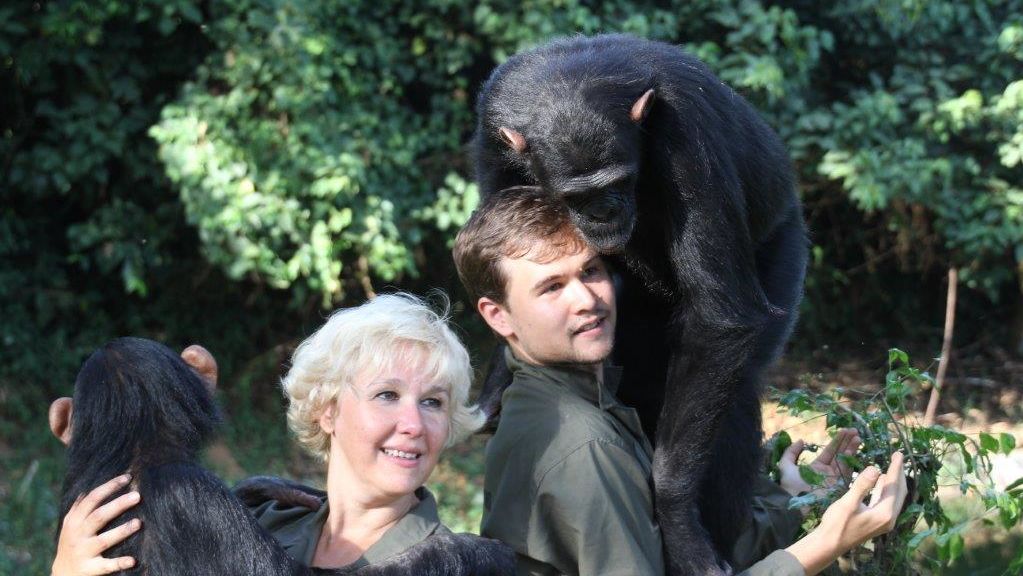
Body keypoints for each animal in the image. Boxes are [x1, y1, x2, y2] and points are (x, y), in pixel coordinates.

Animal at [470, 35, 806, 572]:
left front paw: (677, 518)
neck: (565, 79)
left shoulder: (690, 136)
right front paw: (497, 388)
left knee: (733, 387)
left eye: (617, 183)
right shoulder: (492, 144)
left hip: (784, 244)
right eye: (575, 196)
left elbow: (719, 315)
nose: (604, 212)